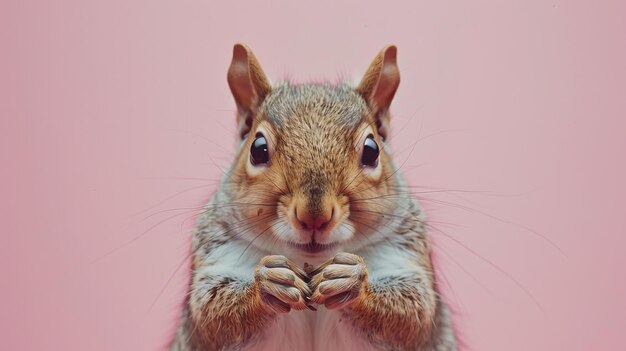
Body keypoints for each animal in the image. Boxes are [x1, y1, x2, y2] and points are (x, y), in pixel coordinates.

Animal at [168, 44, 456, 351]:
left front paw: (352, 279)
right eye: (258, 149)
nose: (314, 217)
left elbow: (414, 312)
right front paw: (268, 281)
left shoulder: (406, 257)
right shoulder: (216, 257)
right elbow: (210, 312)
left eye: (371, 151)